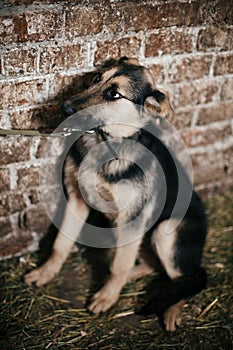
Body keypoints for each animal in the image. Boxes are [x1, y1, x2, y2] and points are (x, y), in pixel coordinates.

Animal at [25, 57, 208, 330]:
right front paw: (45, 272)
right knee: (152, 265)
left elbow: (118, 266)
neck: (107, 141)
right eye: (96, 79)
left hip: (165, 232)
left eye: (114, 94)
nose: (64, 108)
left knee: (184, 279)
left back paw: (171, 310)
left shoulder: (133, 219)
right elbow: (61, 244)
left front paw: (107, 296)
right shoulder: (76, 200)